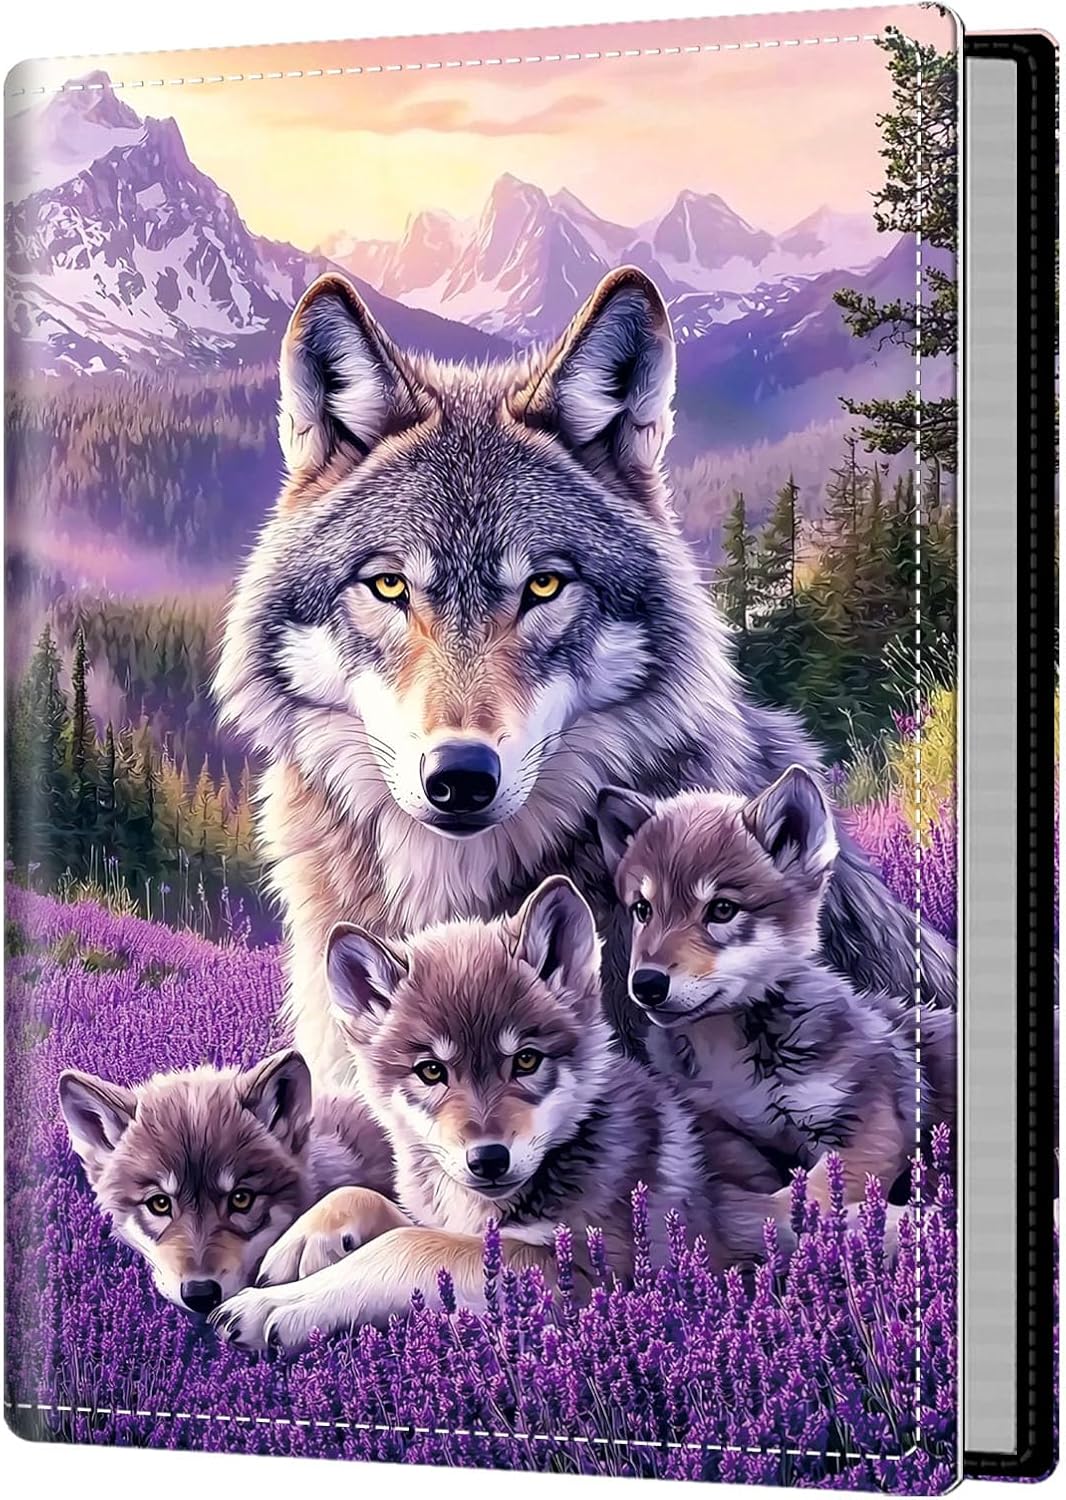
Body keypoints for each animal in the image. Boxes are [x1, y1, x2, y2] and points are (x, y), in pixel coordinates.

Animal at [212, 878, 793, 1351]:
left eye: (526, 1060)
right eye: (431, 1071)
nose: (488, 1160)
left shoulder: (588, 1273)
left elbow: (407, 1244)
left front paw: (278, 1305)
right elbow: (371, 1201)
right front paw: (302, 1241)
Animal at [597, 766, 957, 1204]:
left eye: (722, 910)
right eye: (642, 910)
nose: (647, 983)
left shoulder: (871, 1129)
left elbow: (801, 1197)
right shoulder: (712, 1125)